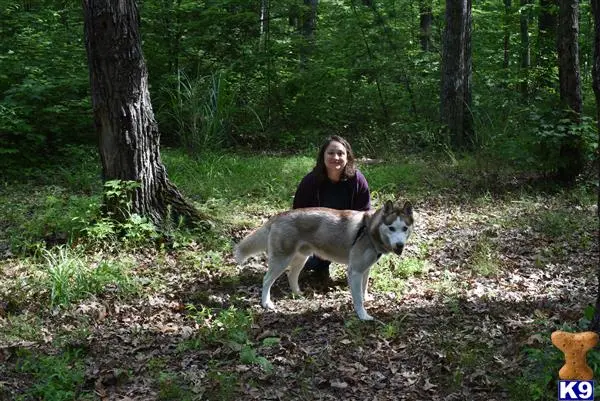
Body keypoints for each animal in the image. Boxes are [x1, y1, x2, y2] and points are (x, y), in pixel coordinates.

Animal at [234, 202, 412, 320]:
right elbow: (358, 299)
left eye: (404, 228)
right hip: (281, 260)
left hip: (301, 258)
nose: (399, 245)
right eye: (391, 228)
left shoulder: (365, 269)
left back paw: (297, 293)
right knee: (266, 280)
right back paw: (266, 303)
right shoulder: (355, 271)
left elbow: (364, 289)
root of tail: (279, 215)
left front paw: (367, 299)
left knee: (291, 275)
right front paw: (363, 315)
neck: (369, 230)